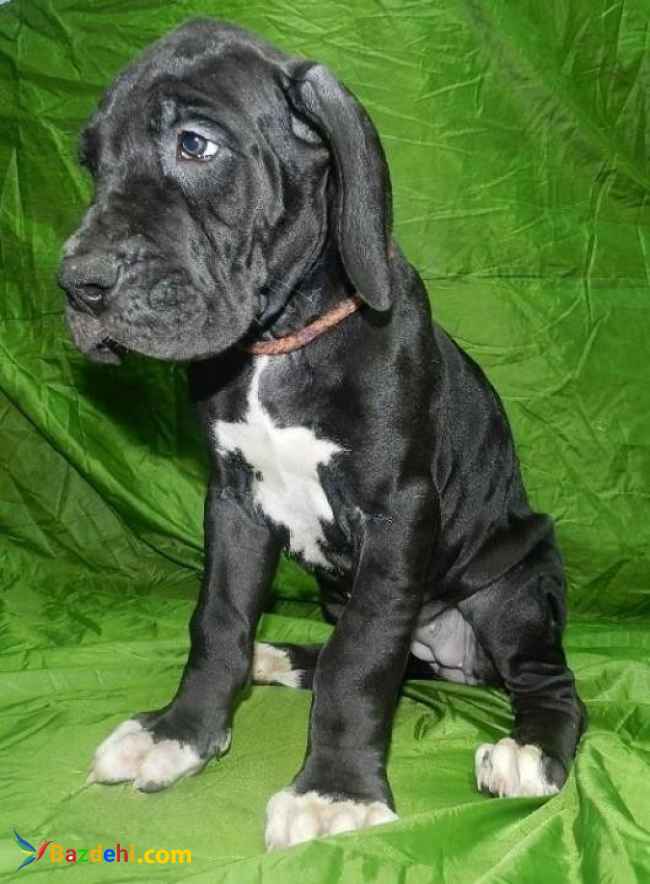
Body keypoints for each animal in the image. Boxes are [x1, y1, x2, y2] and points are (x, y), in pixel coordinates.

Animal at [58, 19, 586, 850]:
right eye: (93, 162)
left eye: (196, 145)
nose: (76, 284)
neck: (280, 345)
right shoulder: (233, 503)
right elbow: (218, 622)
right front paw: (180, 733)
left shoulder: (399, 514)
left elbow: (362, 659)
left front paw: (336, 790)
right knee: (390, 659)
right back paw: (279, 657)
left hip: (515, 587)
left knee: (549, 684)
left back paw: (531, 752)